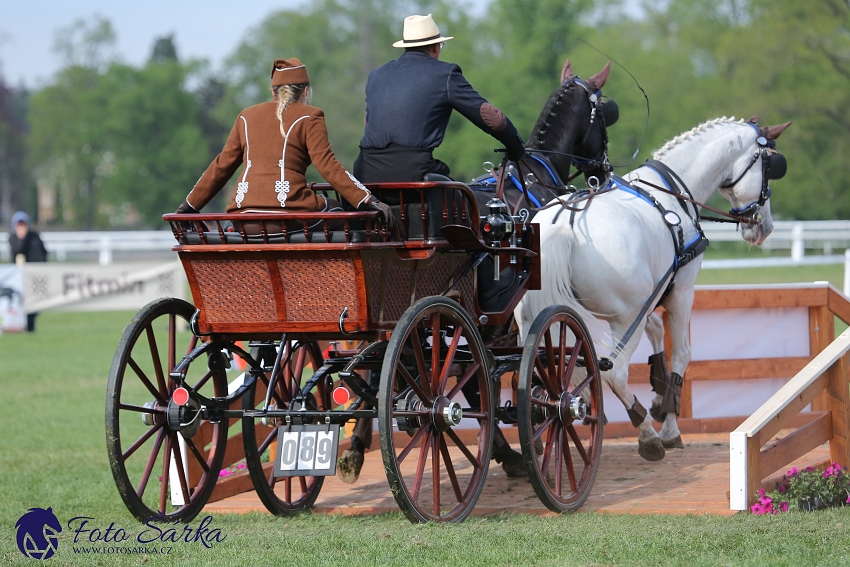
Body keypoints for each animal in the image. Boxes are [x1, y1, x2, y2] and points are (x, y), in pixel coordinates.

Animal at [516, 117, 788, 460]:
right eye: (771, 166)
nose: (764, 226)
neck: (673, 193)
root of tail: (562, 225)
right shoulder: (680, 292)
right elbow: (682, 354)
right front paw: (670, 425)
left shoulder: (650, 297)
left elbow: (657, 331)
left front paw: (660, 396)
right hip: (623, 319)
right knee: (614, 373)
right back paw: (646, 433)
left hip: (531, 322)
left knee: (529, 375)